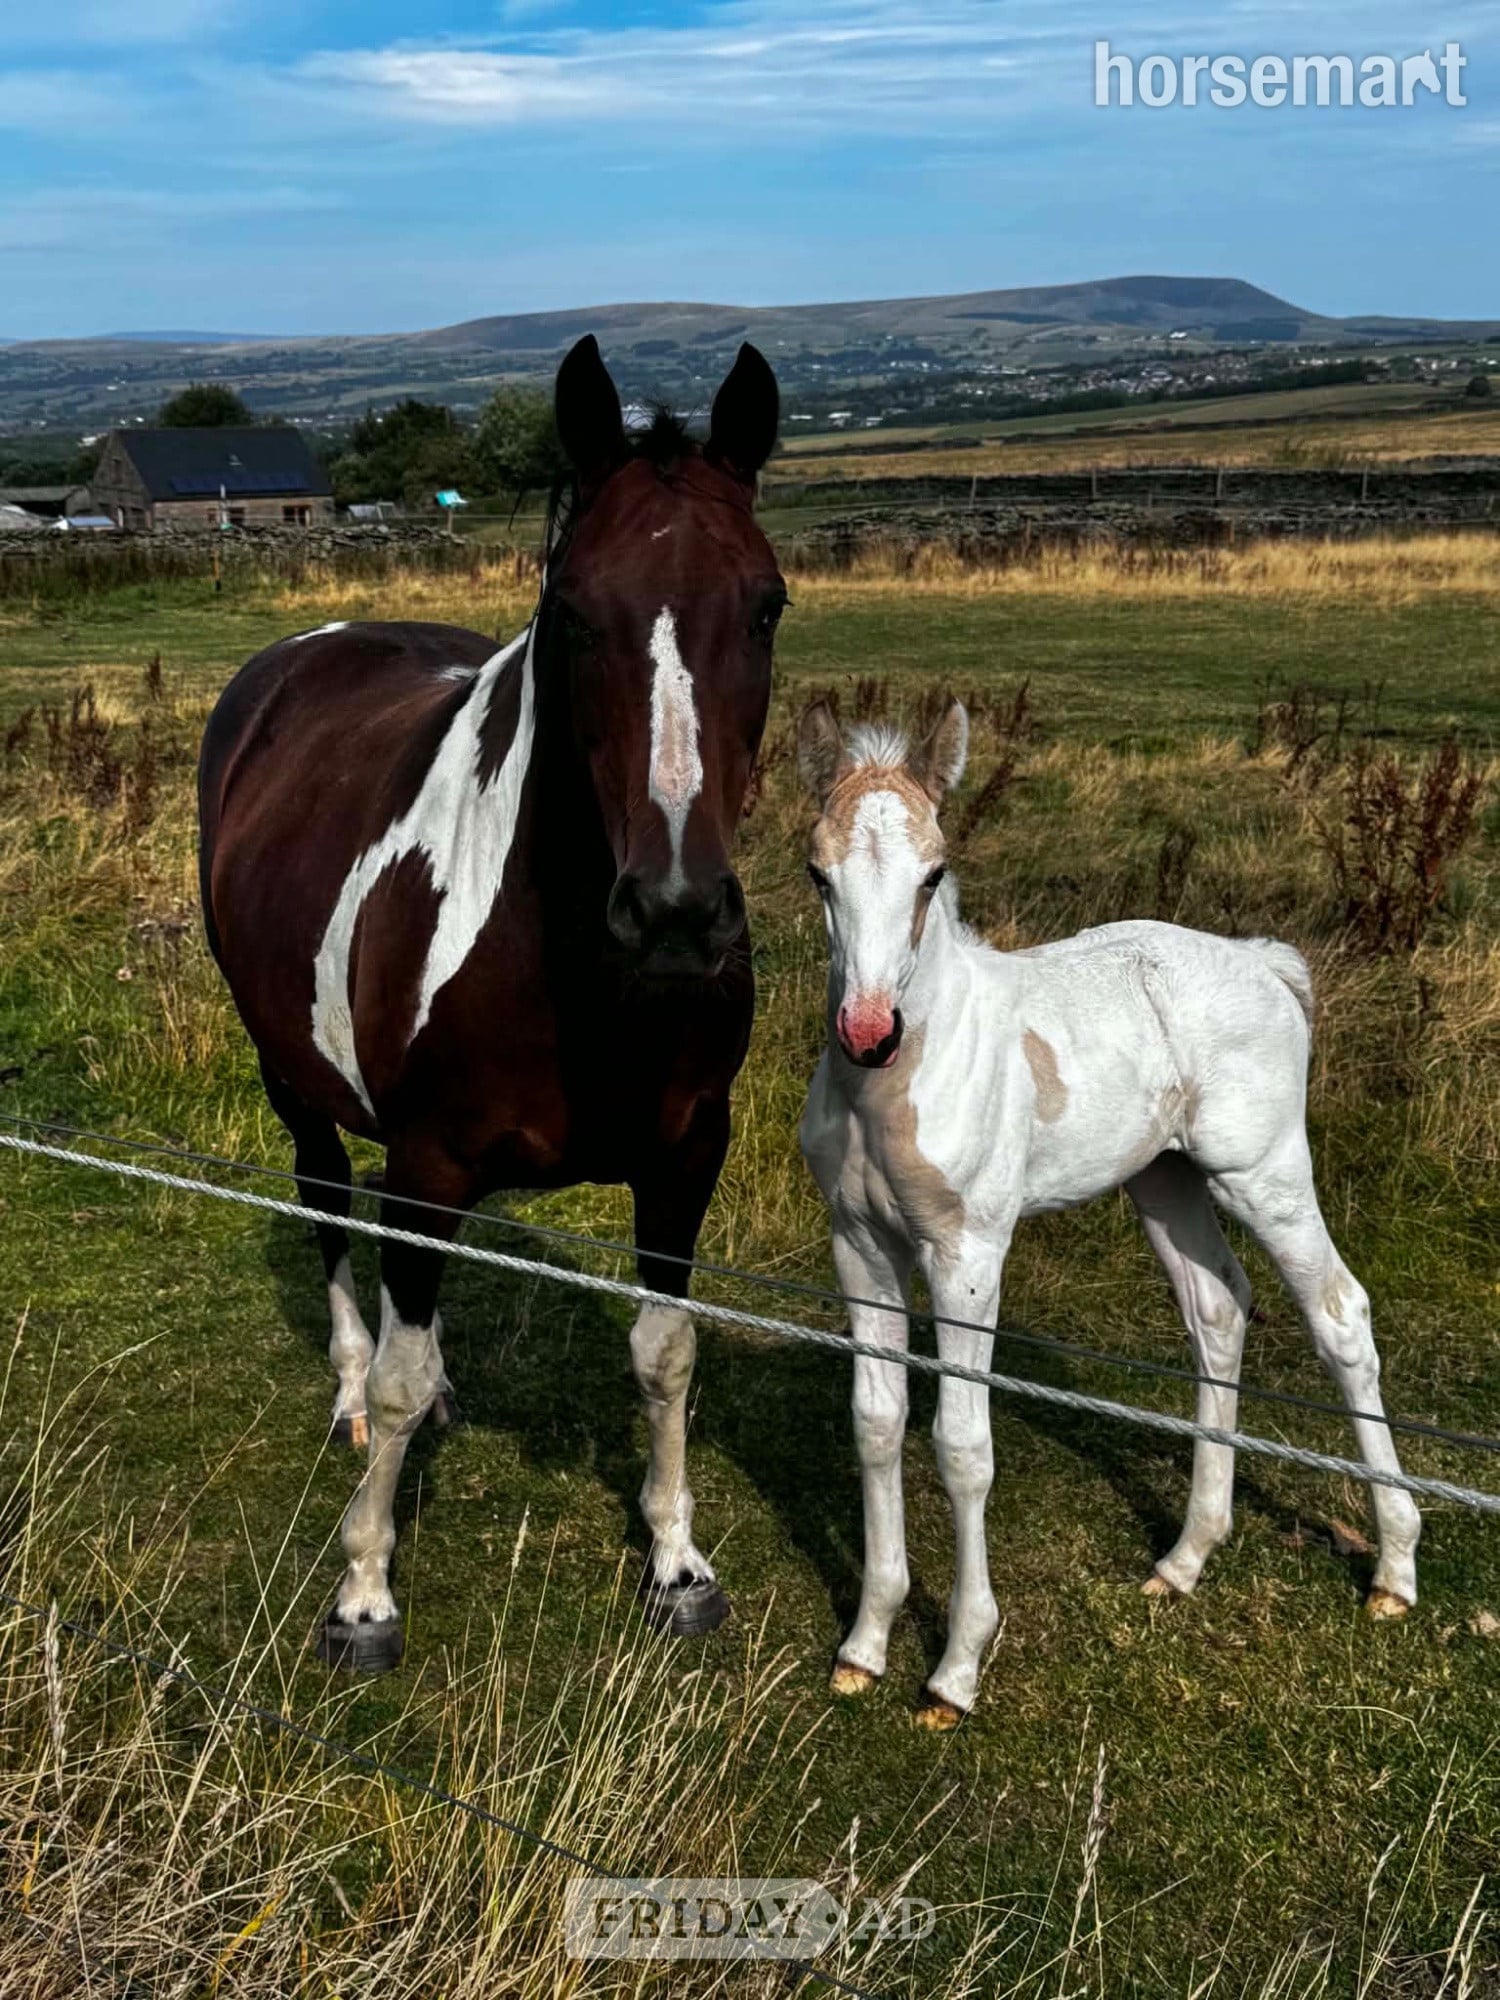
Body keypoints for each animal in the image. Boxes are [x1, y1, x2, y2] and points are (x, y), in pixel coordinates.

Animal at [197, 335, 785, 1672]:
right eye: (573, 613)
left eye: (767, 603)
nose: (676, 912)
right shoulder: (425, 1164)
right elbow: (401, 1367)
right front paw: (364, 1590)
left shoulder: (688, 1153)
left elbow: (666, 1351)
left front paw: (677, 1562)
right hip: (289, 1073)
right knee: (330, 1211)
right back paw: (353, 1393)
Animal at [794, 698, 1420, 1729]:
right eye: (818, 873)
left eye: (933, 872)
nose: (869, 1031)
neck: (894, 1086)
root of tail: (1262, 962)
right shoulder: (862, 1245)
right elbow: (875, 1423)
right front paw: (864, 1644)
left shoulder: (968, 1252)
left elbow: (961, 1445)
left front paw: (956, 1669)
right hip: (1166, 1181)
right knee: (1219, 1310)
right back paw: (1186, 1557)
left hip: (1264, 1172)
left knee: (1340, 1314)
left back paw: (1396, 1568)